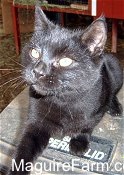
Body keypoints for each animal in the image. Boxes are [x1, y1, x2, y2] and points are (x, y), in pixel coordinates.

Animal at [7, 6, 122, 174]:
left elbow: (87, 125)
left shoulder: (96, 111)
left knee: (113, 92)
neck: (63, 100)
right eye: (35, 52)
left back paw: (115, 107)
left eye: (65, 61)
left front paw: (79, 141)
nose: (38, 71)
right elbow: (24, 149)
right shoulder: (35, 121)